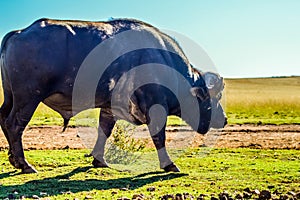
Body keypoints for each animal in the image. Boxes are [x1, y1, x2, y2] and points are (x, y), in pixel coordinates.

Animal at [0, 18, 225, 173]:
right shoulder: (156, 107)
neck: (162, 61)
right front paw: (169, 164)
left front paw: (99, 160)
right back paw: (24, 164)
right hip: (28, 99)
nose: (224, 119)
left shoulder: (109, 108)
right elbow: (159, 136)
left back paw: (14, 159)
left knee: (4, 119)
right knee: (14, 125)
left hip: (11, 98)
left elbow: (104, 131)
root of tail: (19, 33)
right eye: (213, 98)